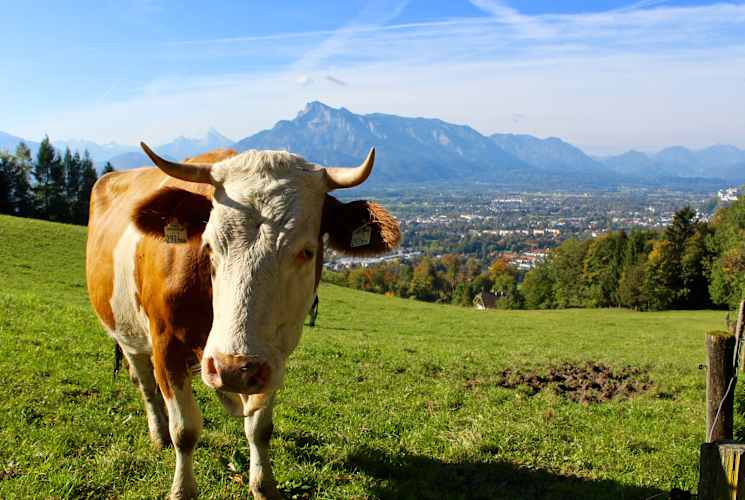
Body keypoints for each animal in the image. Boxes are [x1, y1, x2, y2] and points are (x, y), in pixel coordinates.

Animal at [85, 144, 399, 499]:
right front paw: (181, 488)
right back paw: (159, 432)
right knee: (145, 384)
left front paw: (264, 485)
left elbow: (259, 428)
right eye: (208, 246)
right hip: (127, 334)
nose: (232, 368)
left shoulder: (272, 357)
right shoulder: (166, 345)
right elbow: (185, 429)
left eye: (306, 252)